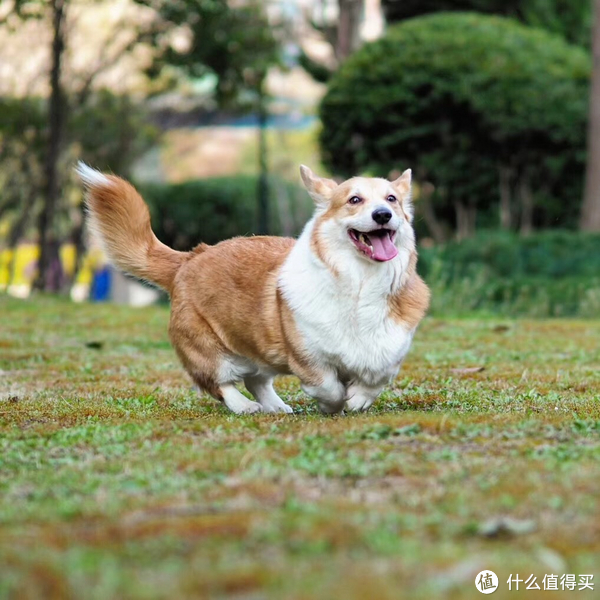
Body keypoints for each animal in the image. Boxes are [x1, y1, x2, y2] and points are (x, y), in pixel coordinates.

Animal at [76, 162, 432, 412]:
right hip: (211, 350)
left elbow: (377, 376)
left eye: (392, 199)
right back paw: (246, 407)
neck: (361, 282)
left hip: (256, 346)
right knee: (221, 384)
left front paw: (358, 398)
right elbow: (328, 386)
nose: (383, 214)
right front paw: (338, 403)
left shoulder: (389, 351)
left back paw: (276, 406)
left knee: (256, 378)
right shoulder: (308, 358)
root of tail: (189, 258)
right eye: (354, 199)